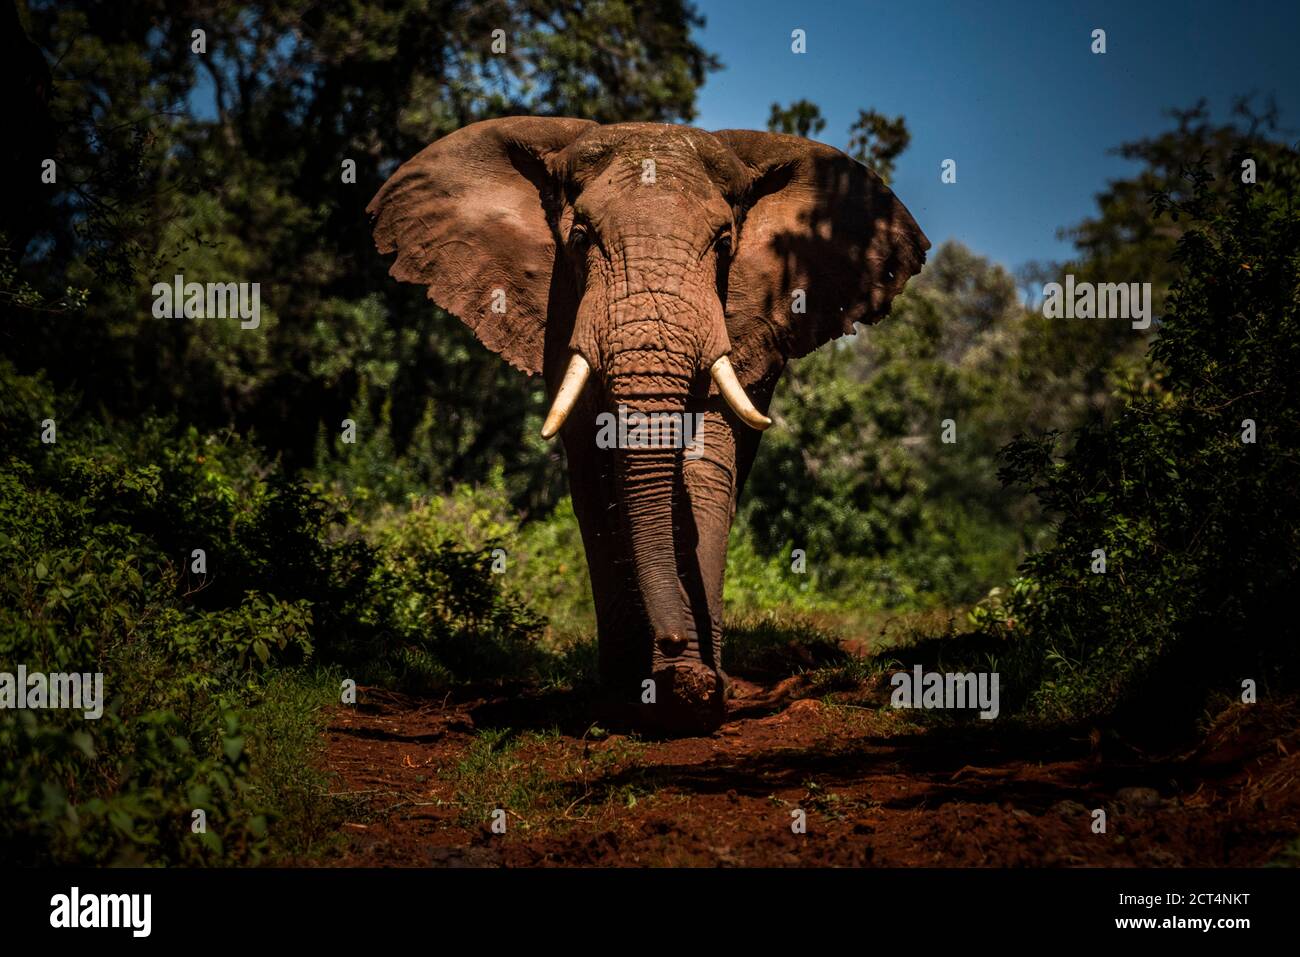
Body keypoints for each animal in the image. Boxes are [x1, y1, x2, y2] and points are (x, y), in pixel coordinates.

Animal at [371, 117, 930, 733]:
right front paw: (638, 697)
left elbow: (707, 469)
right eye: (581, 239)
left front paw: (688, 694)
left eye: (725, 244)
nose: (674, 641)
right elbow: (596, 475)